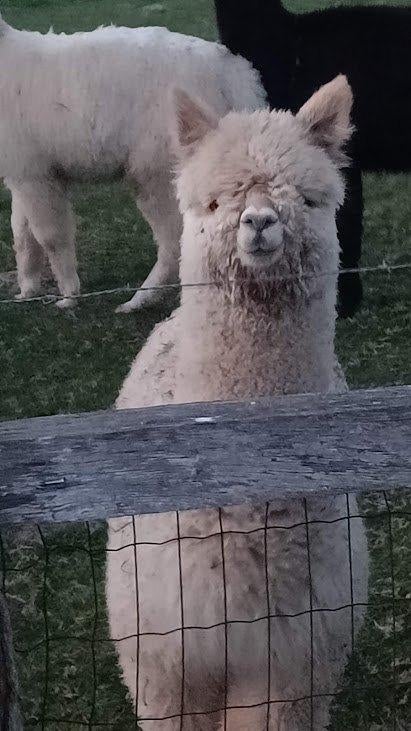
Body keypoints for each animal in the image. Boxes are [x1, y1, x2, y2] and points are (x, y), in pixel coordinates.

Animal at [0, 14, 265, 311]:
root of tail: (235, 76)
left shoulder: (34, 173)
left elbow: (50, 236)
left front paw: (68, 296)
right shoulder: (23, 170)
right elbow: (21, 233)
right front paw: (27, 291)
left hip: (157, 170)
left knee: (175, 240)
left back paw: (138, 300)